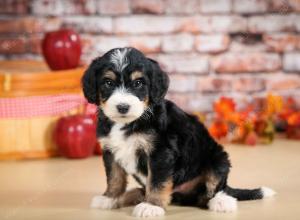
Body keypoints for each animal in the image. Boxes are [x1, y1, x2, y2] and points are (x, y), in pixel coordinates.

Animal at [81, 47, 274, 217]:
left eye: (138, 83)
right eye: (108, 83)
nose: (122, 107)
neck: (130, 122)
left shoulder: (161, 152)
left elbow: (157, 181)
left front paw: (152, 206)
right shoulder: (110, 151)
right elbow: (114, 177)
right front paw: (110, 198)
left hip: (218, 158)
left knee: (212, 190)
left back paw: (221, 202)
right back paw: (132, 195)